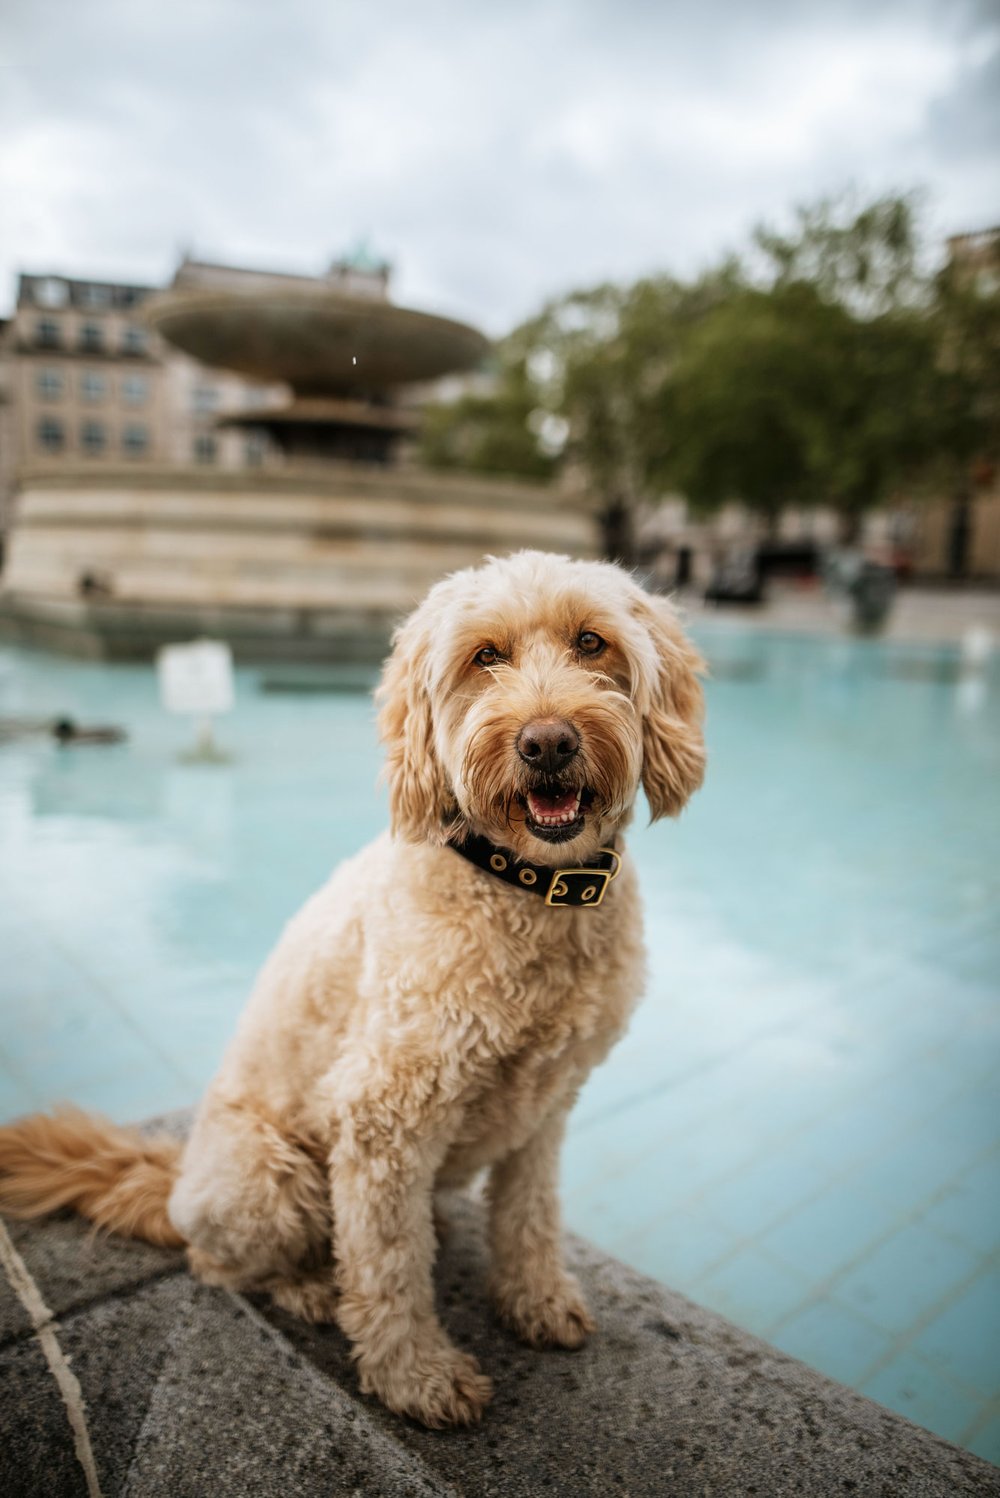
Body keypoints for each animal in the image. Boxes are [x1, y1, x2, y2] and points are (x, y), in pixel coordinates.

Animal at [0, 551, 703, 1426]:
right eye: (485, 656)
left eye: (591, 642)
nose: (547, 743)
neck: (524, 889)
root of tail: (175, 1178)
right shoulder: (383, 1116)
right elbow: (390, 1267)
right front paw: (416, 1377)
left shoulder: (546, 1108)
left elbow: (530, 1216)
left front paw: (536, 1301)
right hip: (269, 1177)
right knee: (217, 1262)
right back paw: (307, 1286)